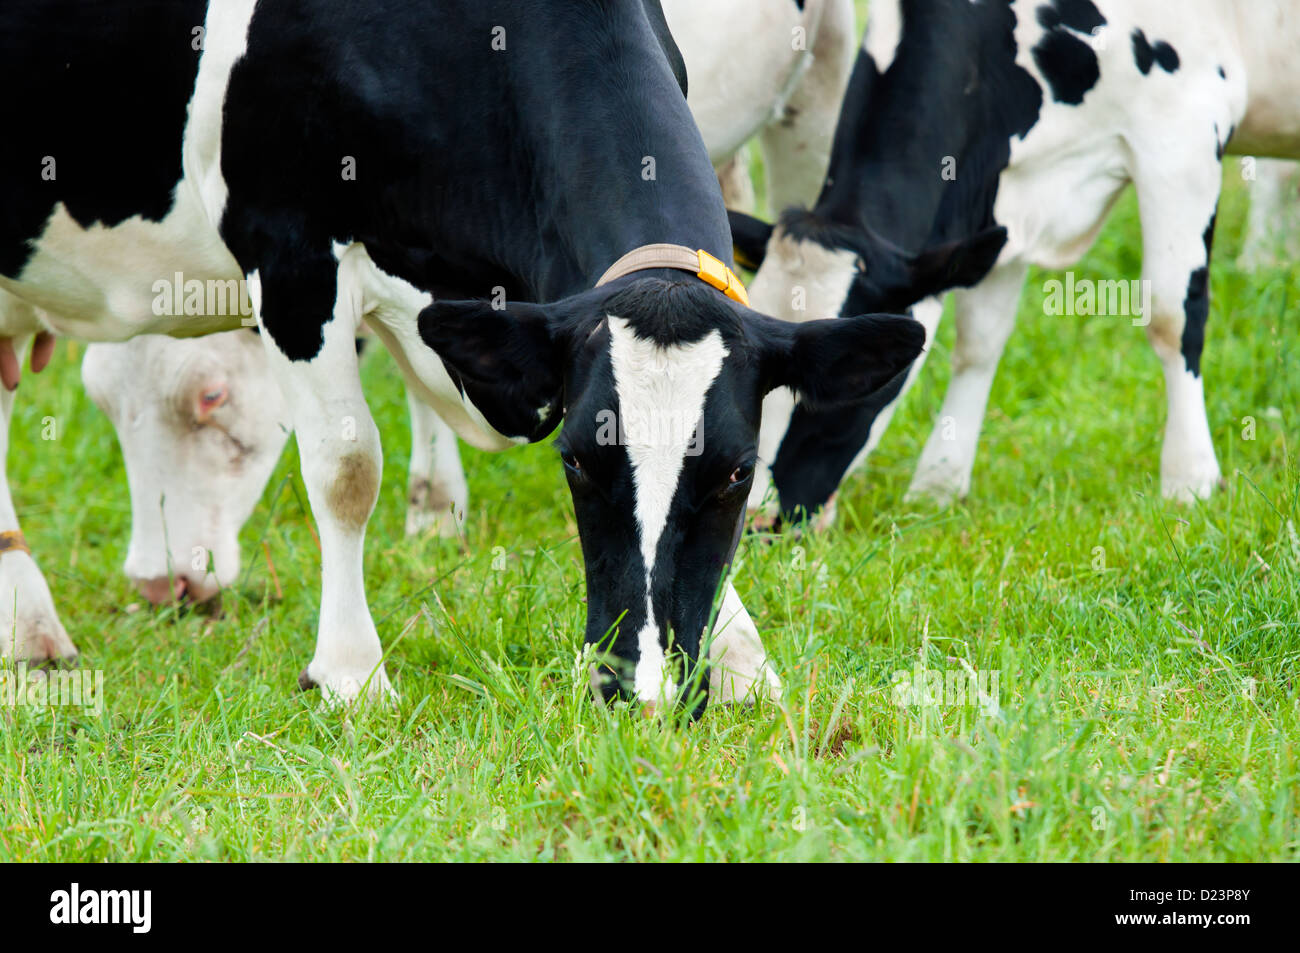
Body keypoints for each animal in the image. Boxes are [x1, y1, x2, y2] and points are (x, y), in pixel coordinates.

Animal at [0, 0, 923, 713]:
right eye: (577, 463)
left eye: (738, 470)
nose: (640, 690)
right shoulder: (290, 251)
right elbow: (345, 468)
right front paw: (352, 674)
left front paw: (741, 663)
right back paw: (35, 628)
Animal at [728, 0, 1300, 522]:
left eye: (846, 383)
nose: (756, 520)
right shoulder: (1001, 199)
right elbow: (979, 342)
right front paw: (938, 483)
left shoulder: (1183, 131)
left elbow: (1170, 318)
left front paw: (1189, 480)